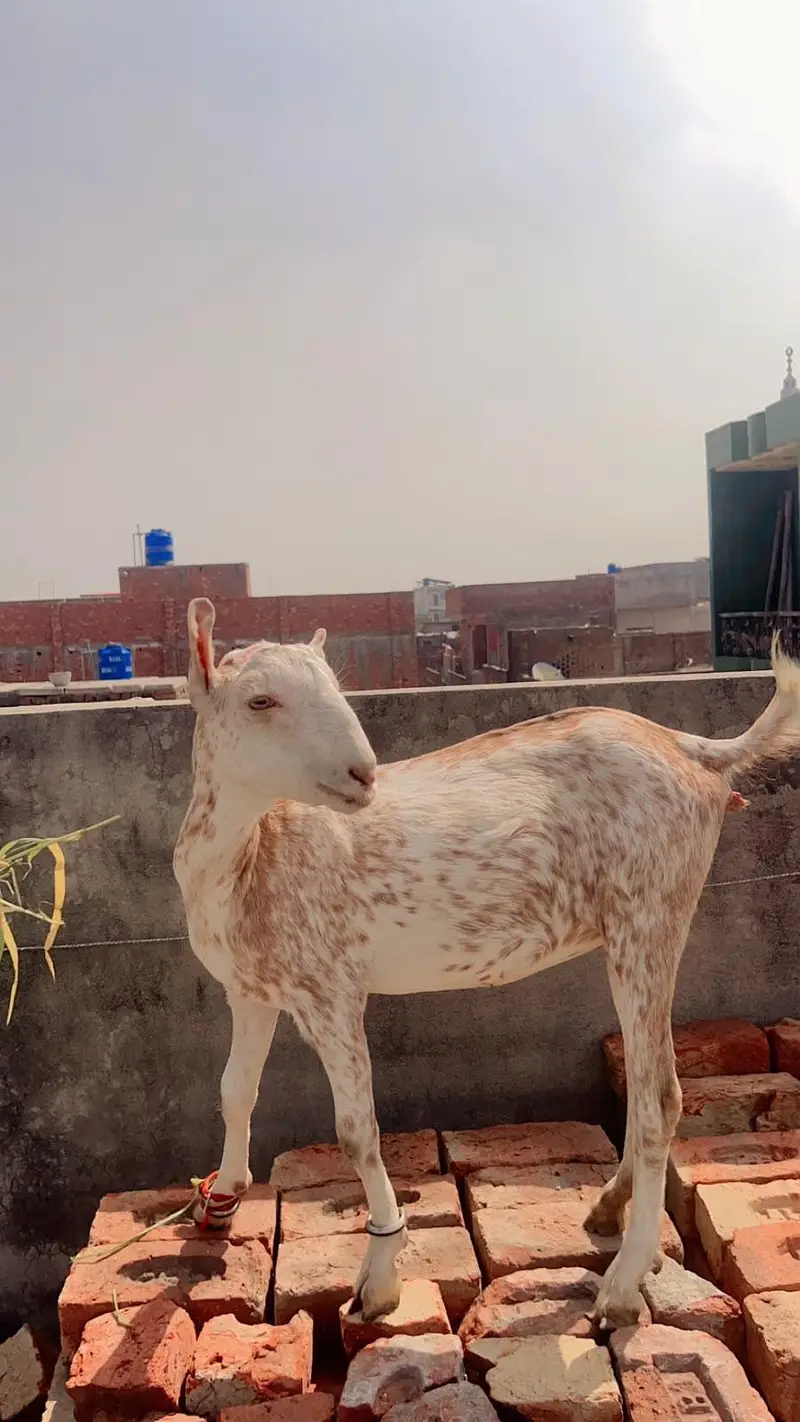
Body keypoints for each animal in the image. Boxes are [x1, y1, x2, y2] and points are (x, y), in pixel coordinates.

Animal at [174, 598, 800, 1327]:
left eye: (333, 688)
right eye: (260, 700)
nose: (363, 774)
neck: (253, 848)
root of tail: (690, 747)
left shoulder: (330, 990)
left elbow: (356, 1131)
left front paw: (379, 1279)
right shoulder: (252, 987)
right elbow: (234, 1090)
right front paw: (222, 1198)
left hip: (651, 914)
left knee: (661, 1097)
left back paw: (620, 1284)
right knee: (649, 1087)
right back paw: (609, 1206)